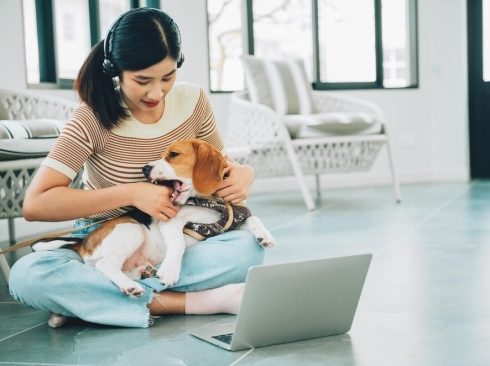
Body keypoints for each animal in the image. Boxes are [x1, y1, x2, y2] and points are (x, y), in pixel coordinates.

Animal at [35, 140, 276, 298]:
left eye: (174, 155)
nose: (145, 168)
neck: (210, 200)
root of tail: (83, 242)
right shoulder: (170, 222)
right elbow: (178, 244)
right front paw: (170, 270)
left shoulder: (233, 221)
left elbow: (253, 219)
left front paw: (265, 235)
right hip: (132, 230)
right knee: (106, 265)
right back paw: (130, 286)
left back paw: (145, 272)